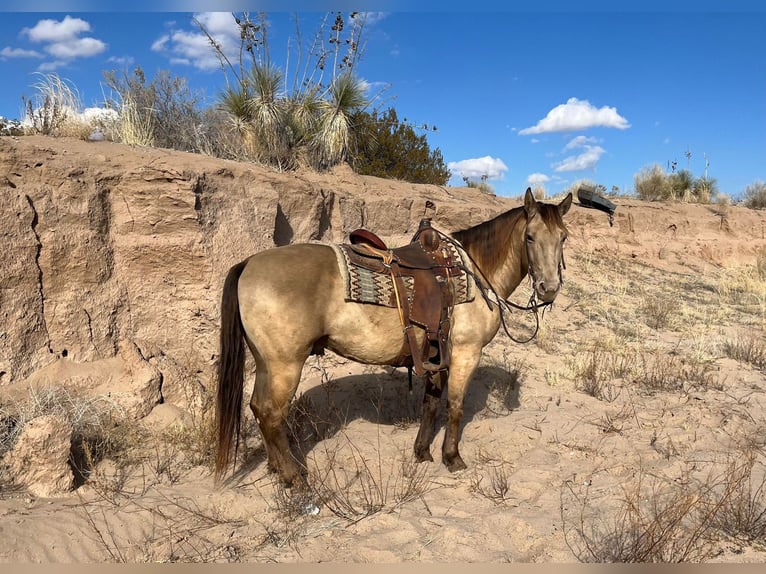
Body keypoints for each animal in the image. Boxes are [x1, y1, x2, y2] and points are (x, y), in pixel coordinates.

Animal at [214, 188, 568, 486]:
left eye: (563, 237)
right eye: (530, 237)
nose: (548, 289)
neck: (473, 271)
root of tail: (248, 263)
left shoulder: (437, 355)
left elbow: (430, 403)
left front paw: (422, 452)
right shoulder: (466, 353)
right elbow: (454, 406)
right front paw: (452, 458)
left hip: (266, 362)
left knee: (257, 408)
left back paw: (277, 469)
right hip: (285, 365)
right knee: (271, 413)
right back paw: (294, 478)